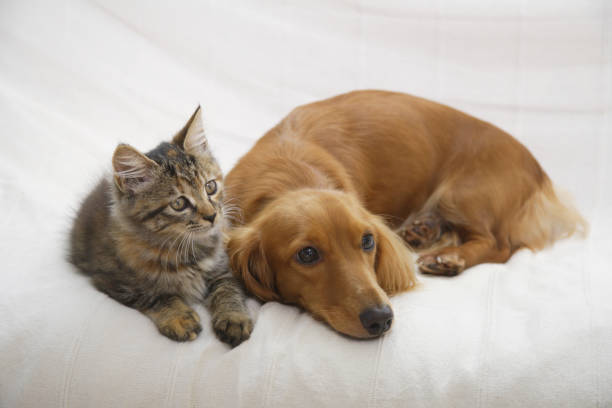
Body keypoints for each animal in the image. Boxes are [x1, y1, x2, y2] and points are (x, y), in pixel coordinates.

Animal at [69, 107, 253, 346]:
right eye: (179, 203)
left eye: (210, 187)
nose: (212, 216)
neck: (185, 248)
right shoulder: (112, 279)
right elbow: (154, 295)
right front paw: (179, 317)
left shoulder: (223, 267)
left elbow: (228, 289)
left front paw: (234, 318)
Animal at [222, 91, 584, 340]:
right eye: (307, 254)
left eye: (367, 241)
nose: (380, 318)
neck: (289, 170)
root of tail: (539, 170)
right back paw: (423, 232)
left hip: (461, 195)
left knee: (499, 244)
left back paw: (448, 258)